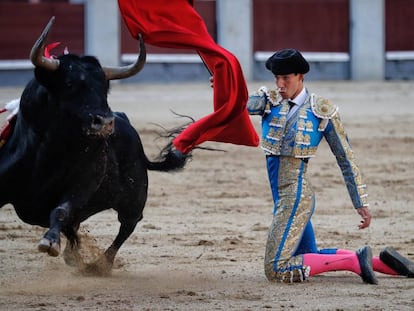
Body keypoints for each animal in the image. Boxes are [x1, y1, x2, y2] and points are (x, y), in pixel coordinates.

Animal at [0, 17, 188, 276]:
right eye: (69, 84)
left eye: (105, 87)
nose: (105, 122)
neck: (49, 149)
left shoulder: (80, 188)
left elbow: (61, 210)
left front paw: (49, 241)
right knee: (76, 230)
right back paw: (75, 256)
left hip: (134, 199)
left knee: (126, 226)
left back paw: (100, 264)